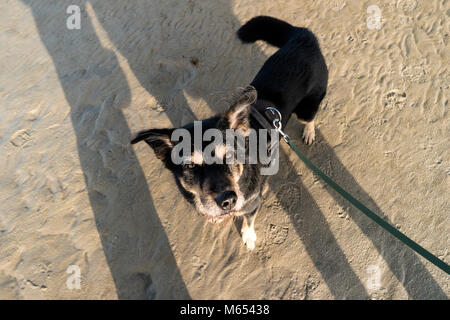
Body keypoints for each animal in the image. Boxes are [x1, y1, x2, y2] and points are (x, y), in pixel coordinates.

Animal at [130, 15, 326, 250]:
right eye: (189, 166)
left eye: (230, 155)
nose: (227, 200)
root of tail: (302, 35)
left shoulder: (252, 203)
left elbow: (248, 220)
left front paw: (248, 237)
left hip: (307, 106)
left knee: (311, 118)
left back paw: (309, 133)